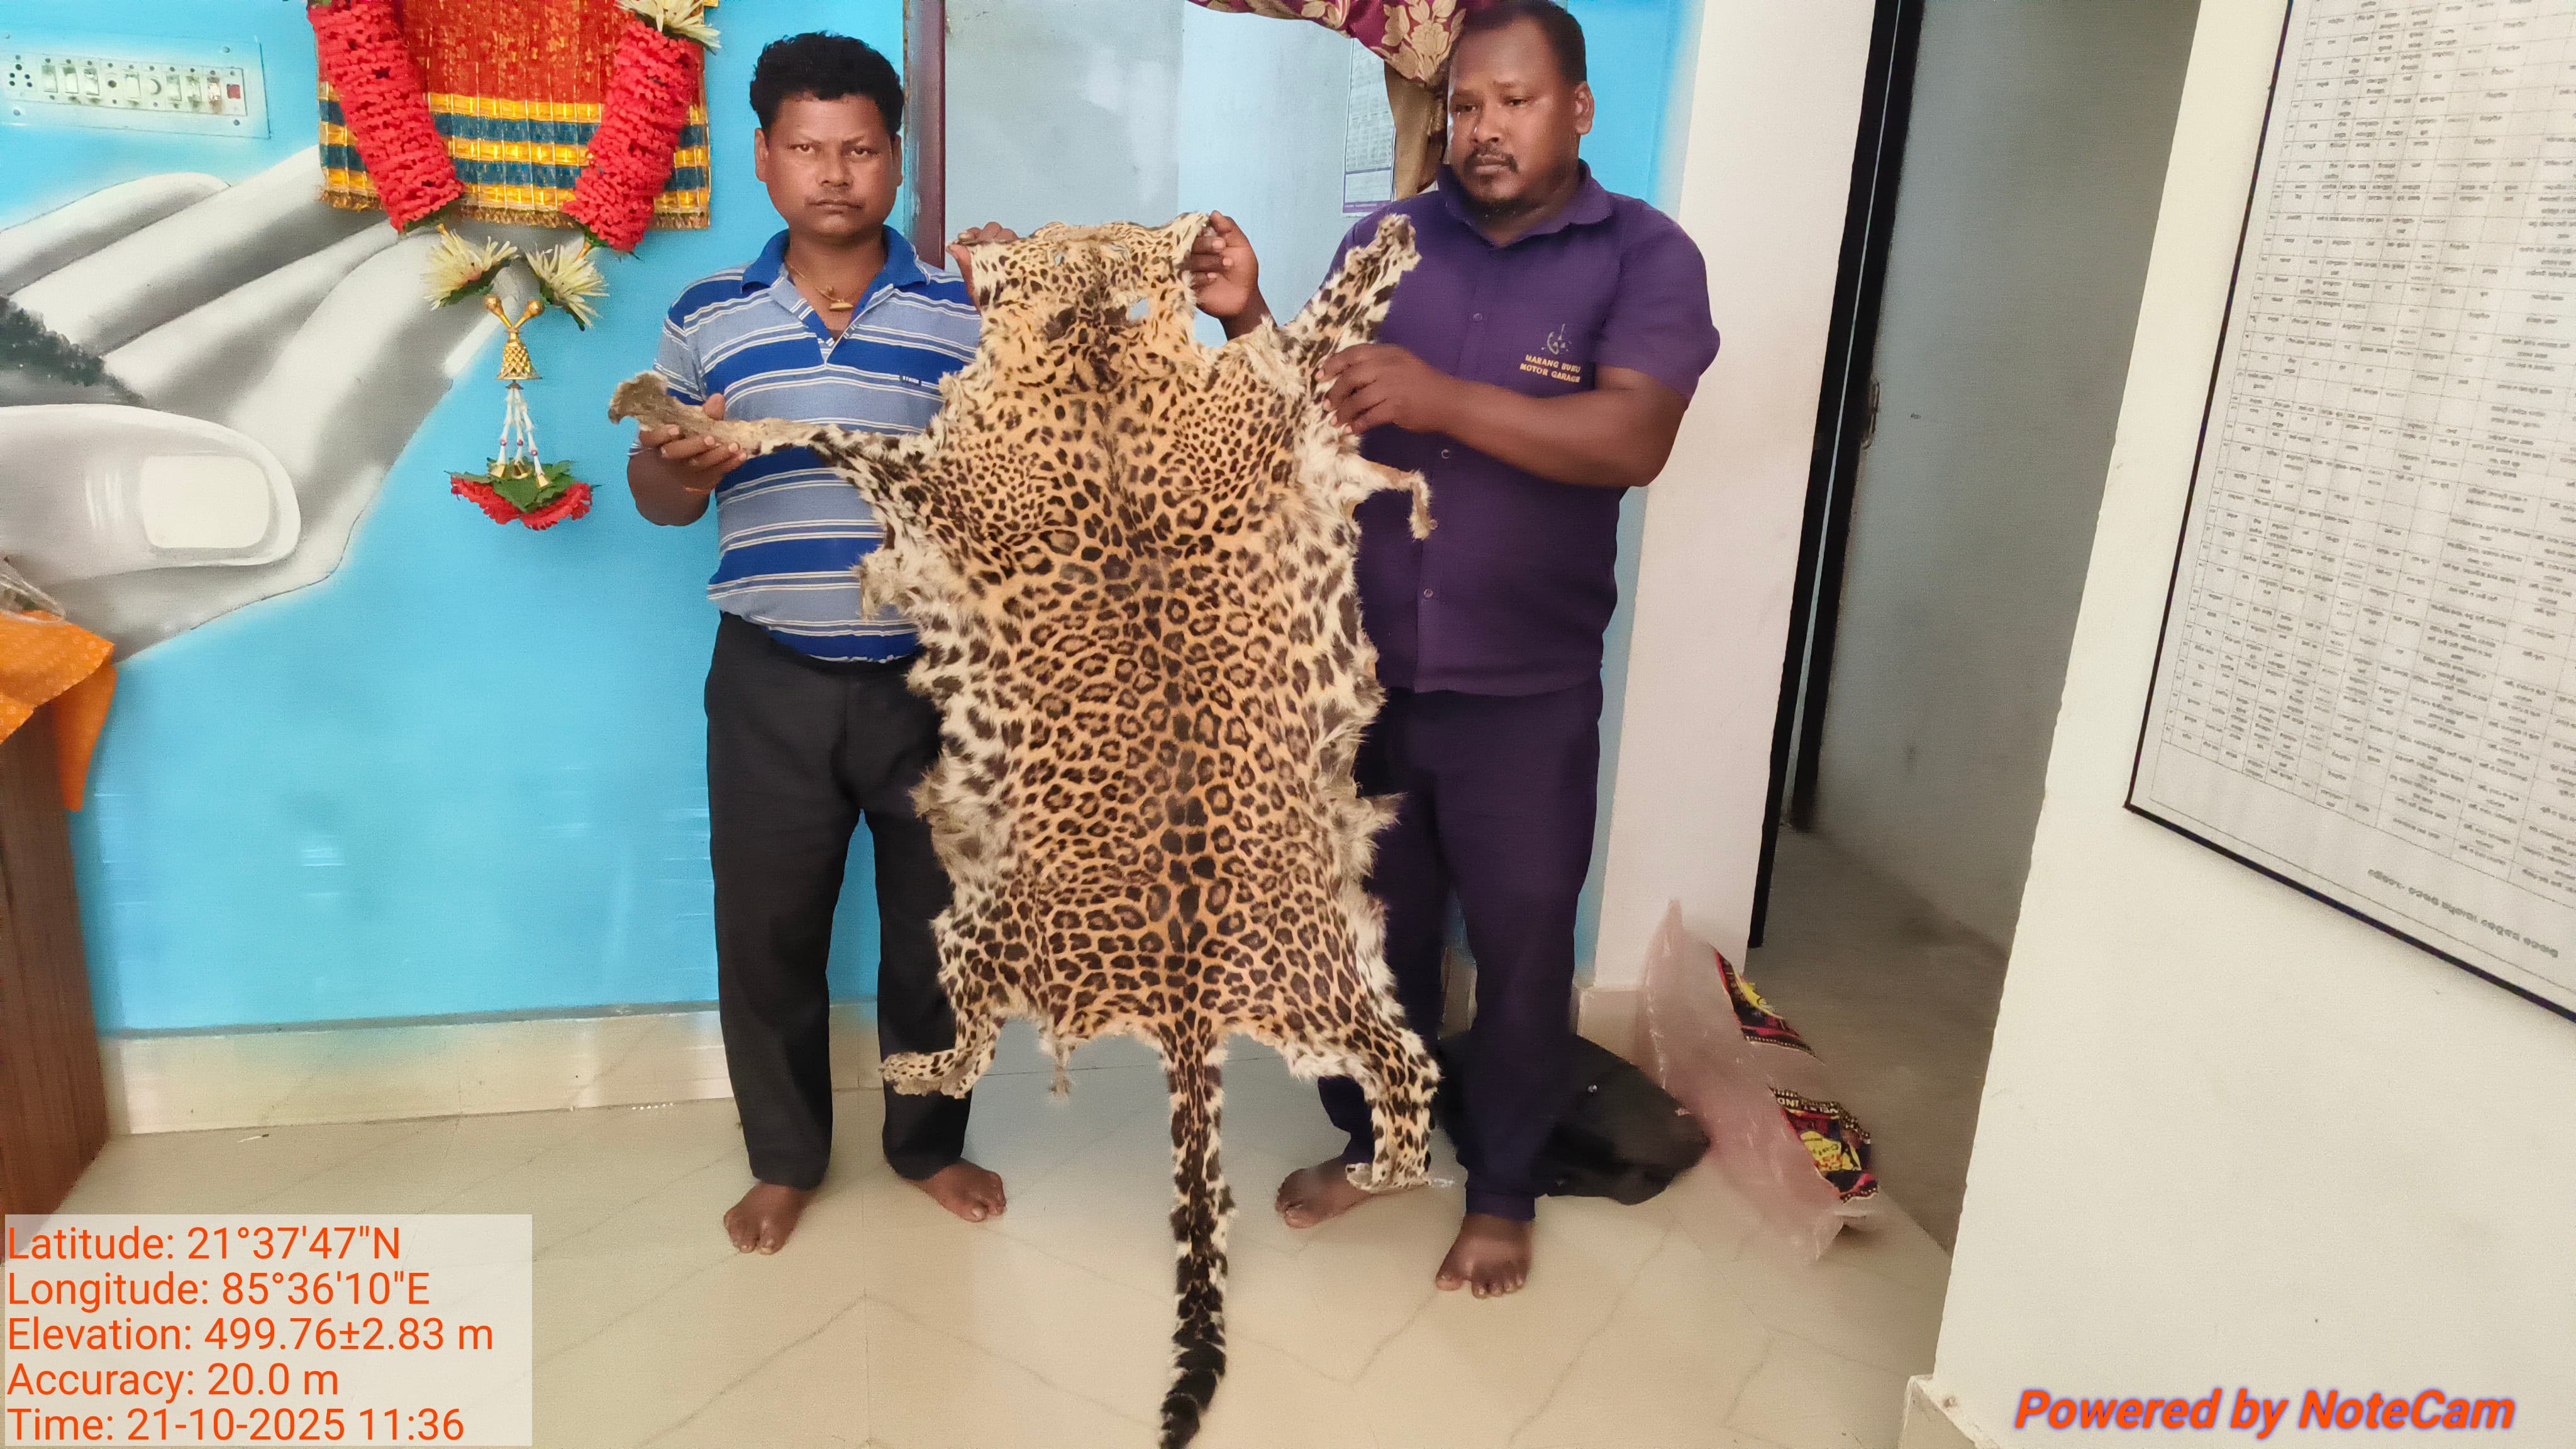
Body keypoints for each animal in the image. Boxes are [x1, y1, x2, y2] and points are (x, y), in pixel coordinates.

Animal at [611, 212, 1440, 1447]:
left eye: (1058, 240)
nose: (985, 237)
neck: (1098, 360)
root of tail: (1189, 1006)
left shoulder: (935, 469)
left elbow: (792, 424)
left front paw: (1386, 235)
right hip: (1349, 997)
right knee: (1413, 1110)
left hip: (975, 937)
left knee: (967, 1045)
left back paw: (910, 1061)